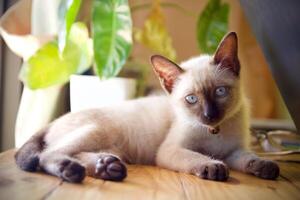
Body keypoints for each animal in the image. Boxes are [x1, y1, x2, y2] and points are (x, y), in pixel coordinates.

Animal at [15, 32, 278, 183]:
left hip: (110, 146)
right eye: (191, 99)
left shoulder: (234, 151)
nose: (209, 115)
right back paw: (72, 170)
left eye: (220, 92)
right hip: (96, 131)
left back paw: (107, 168)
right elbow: (195, 156)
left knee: (77, 154)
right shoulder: (171, 150)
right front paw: (213, 167)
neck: (215, 131)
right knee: (47, 154)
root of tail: (54, 121)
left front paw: (265, 167)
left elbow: (249, 158)